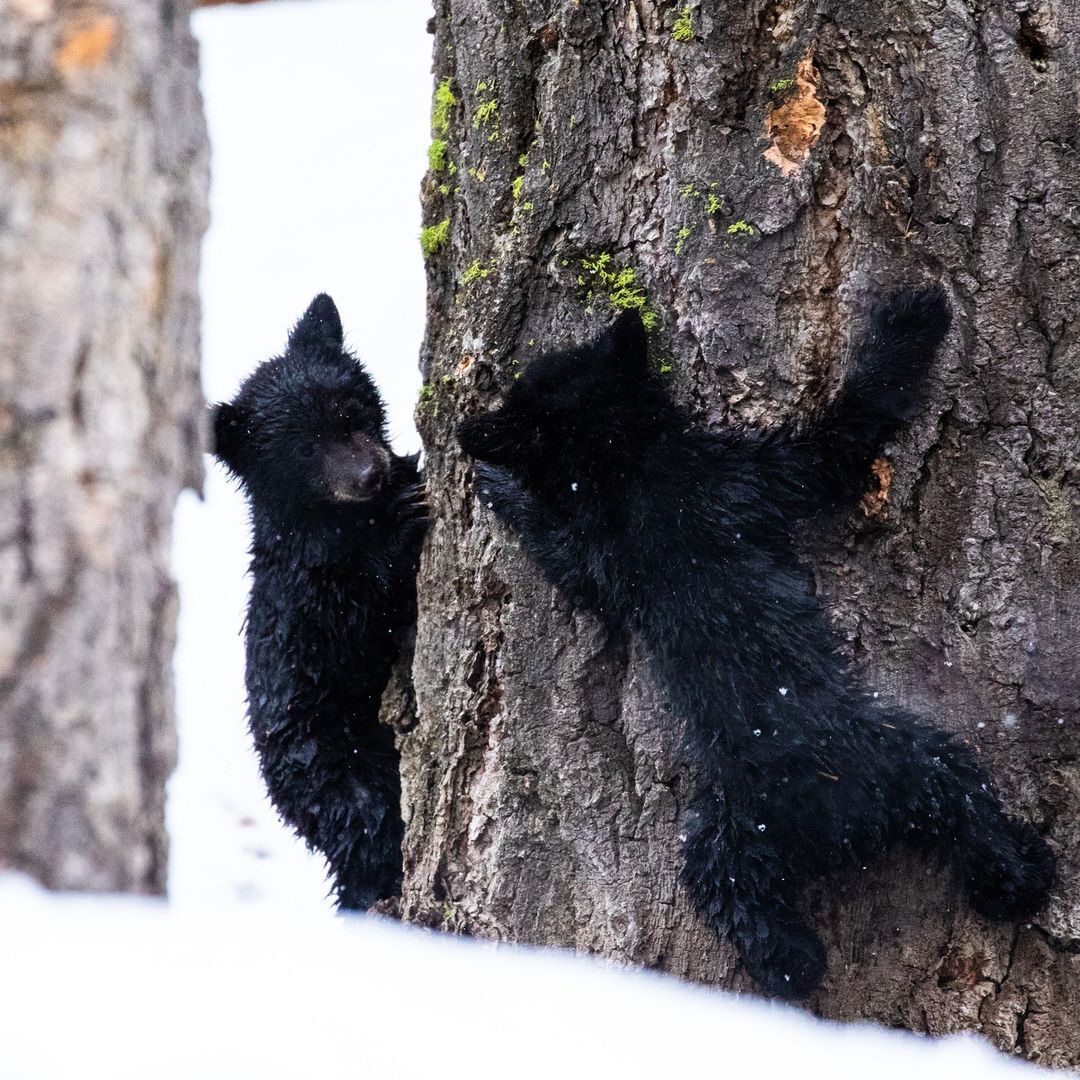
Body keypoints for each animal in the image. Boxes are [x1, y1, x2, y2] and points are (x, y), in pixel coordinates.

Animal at [211, 293, 427, 910]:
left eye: (351, 412)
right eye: (304, 449)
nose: (370, 473)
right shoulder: (306, 588)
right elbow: (357, 613)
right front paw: (406, 520)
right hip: (336, 772)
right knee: (372, 829)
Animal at [456, 288, 1055, 999]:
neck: (621, 460)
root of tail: (844, 832)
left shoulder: (624, 537)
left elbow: (563, 554)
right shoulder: (745, 475)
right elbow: (841, 438)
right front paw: (913, 317)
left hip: (790, 807)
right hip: (877, 765)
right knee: (956, 801)